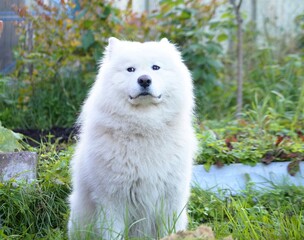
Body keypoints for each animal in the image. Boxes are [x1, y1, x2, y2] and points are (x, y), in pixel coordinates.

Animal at [68, 37, 197, 238]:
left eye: (155, 67)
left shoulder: (170, 199)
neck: (145, 128)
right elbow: (113, 234)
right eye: (130, 69)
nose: (144, 79)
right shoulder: (113, 201)